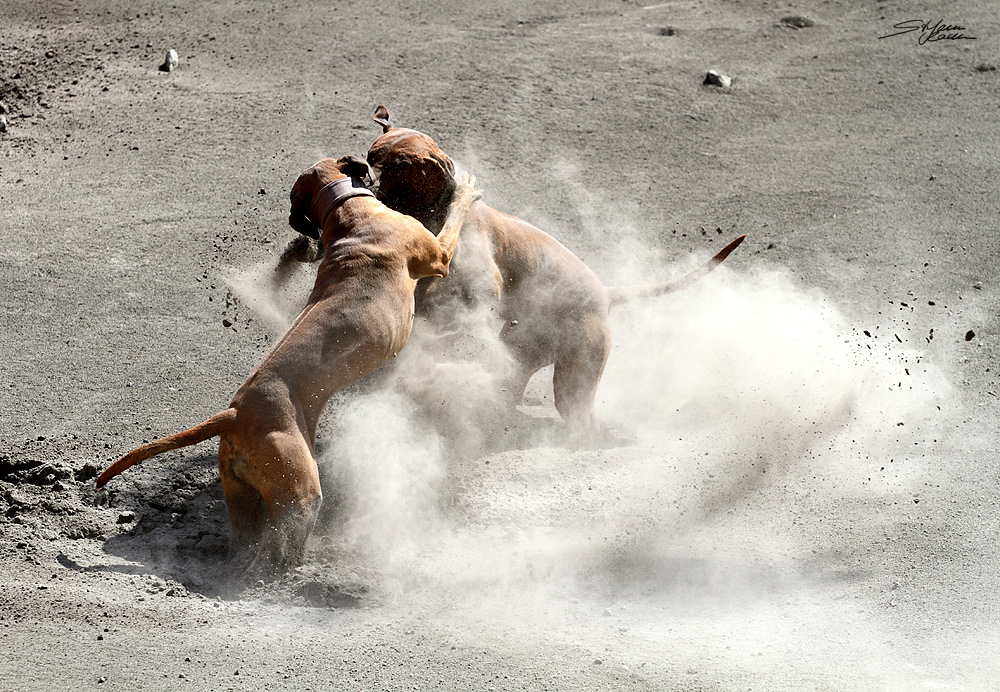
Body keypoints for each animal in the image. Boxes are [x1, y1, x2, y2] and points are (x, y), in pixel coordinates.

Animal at [96, 157, 480, 580]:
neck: (347, 212)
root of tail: (234, 414)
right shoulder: (438, 255)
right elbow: (456, 216)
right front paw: (467, 186)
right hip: (299, 490)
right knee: (276, 545)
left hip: (242, 494)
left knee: (246, 541)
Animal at [356, 107, 748, 440]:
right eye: (373, 154)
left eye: (400, 166)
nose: (360, 172)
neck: (433, 208)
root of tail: (605, 295)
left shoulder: (481, 282)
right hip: (523, 349)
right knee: (512, 386)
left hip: (577, 375)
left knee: (582, 420)